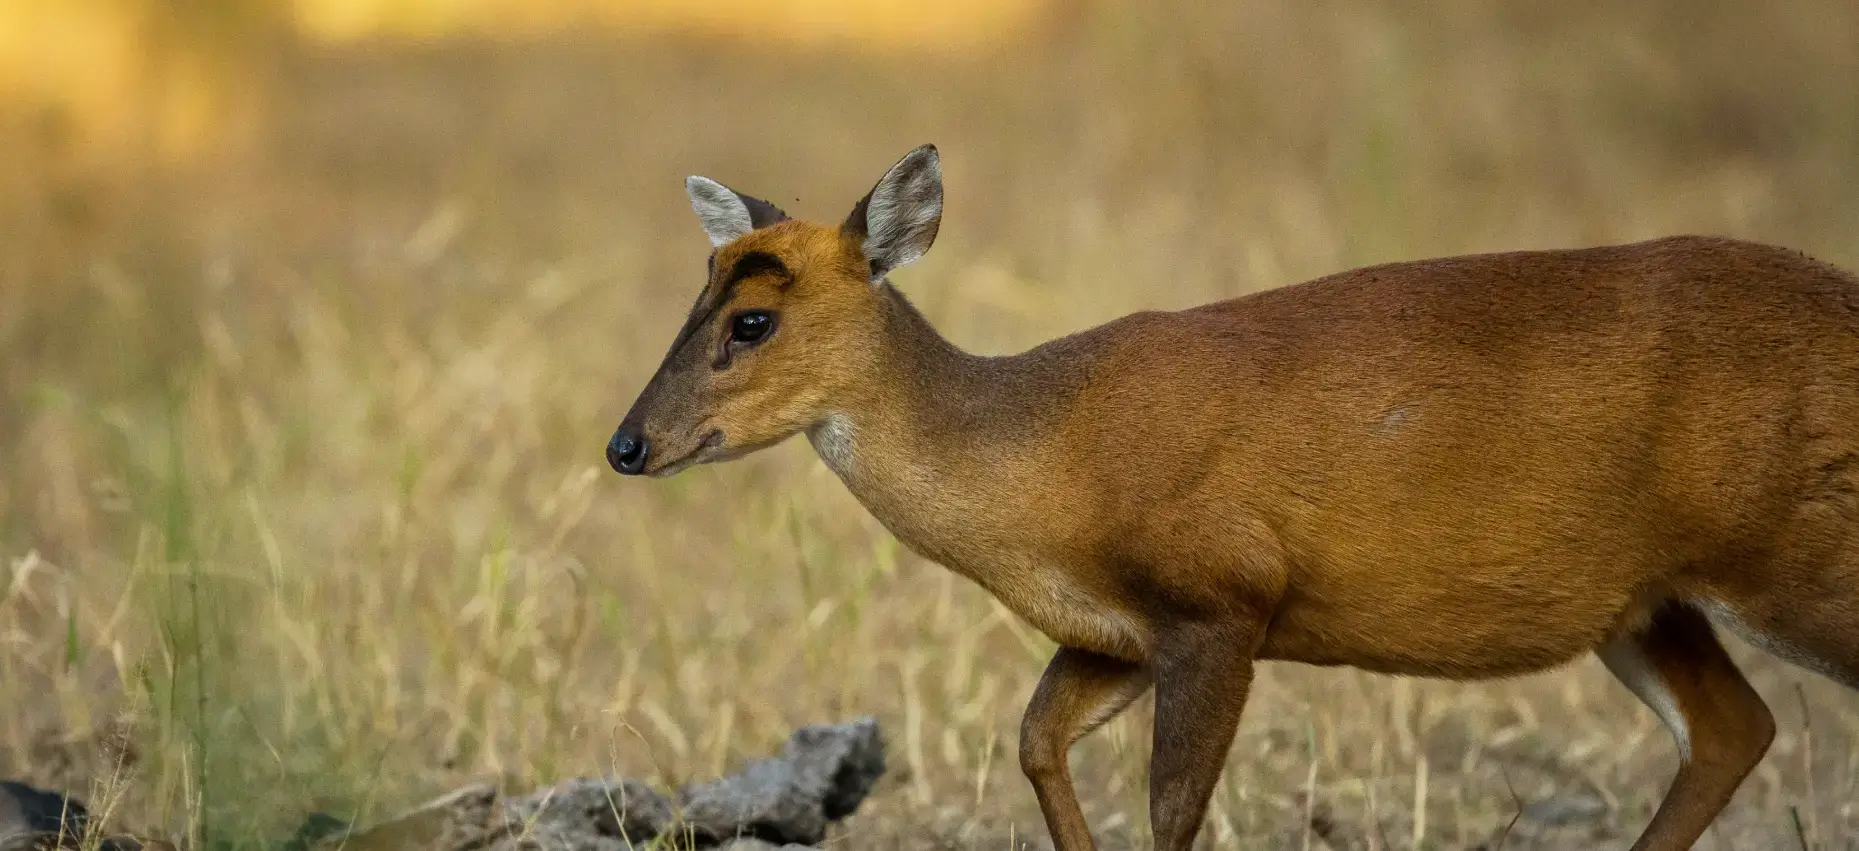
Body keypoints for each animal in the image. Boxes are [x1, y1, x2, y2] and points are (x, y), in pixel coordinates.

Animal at [606, 143, 1859, 847]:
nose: (625, 443)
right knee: (1731, 727)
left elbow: (1170, 804)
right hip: (1647, 600)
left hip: (1798, 552)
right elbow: (1034, 740)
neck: (1044, 457)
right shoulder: (1121, 629)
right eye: (694, 298)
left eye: (750, 320)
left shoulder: (1224, 594)